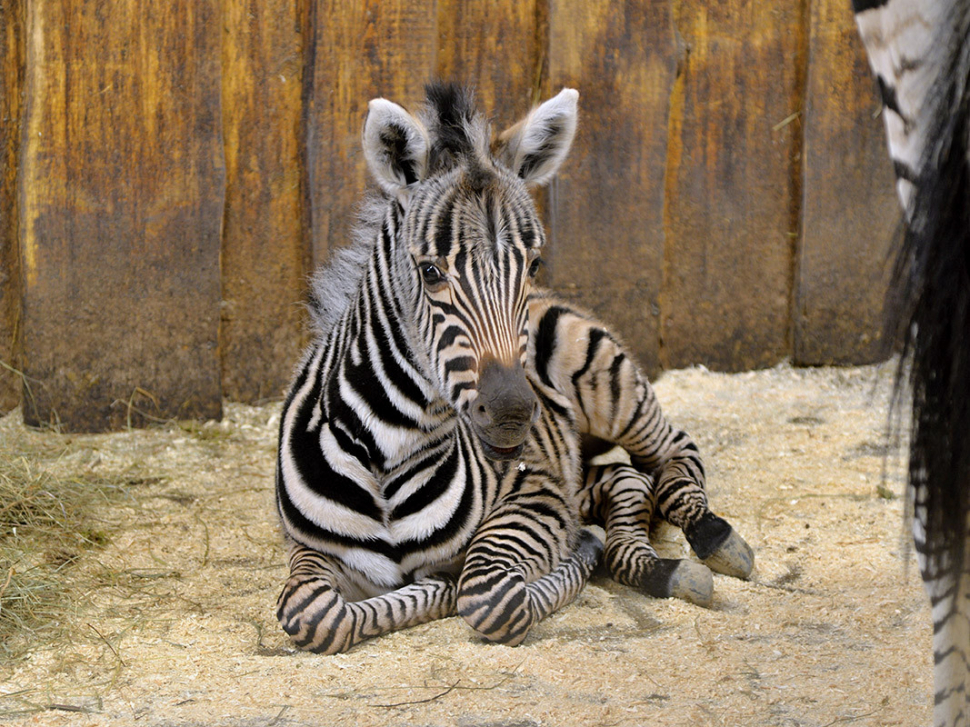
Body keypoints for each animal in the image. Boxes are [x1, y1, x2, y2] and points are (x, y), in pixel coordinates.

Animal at [276, 82, 752, 652]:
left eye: (533, 265)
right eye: (431, 272)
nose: (512, 415)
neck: (388, 448)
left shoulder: (535, 494)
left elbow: (491, 597)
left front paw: (560, 559)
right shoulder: (308, 547)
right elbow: (310, 610)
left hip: (607, 385)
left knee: (673, 452)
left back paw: (710, 538)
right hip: (578, 460)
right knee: (625, 480)